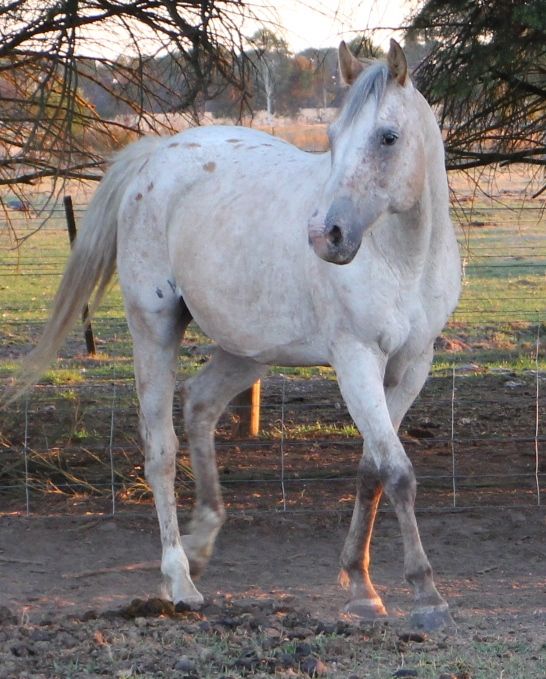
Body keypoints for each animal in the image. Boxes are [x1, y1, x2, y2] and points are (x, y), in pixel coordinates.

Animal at [15, 40, 460, 630]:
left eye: (387, 137)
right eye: (333, 137)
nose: (327, 235)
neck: (403, 256)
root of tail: (156, 155)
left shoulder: (412, 365)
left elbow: (373, 469)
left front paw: (362, 586)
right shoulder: (356, 361)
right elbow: (398, 470)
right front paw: (427, 594)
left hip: (249, 351)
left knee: (200, 404)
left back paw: (202, 543)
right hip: (154, 329)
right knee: (161, 449)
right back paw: (179, 579)